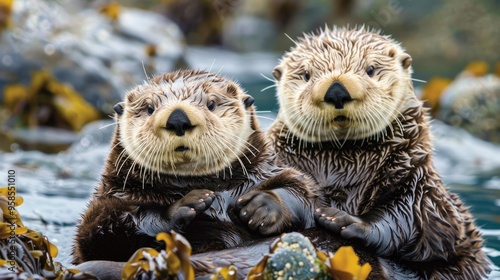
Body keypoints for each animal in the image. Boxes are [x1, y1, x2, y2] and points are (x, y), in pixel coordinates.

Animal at [71, 69, 316, 264]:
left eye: (211, 104)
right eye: (149, 108)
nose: (178, 118)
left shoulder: (266, 172)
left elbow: (302, 192)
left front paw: (262, 207)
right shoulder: (111, 198)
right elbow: (98, 232)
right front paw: (187, 204)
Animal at [268, 26, 490, 280]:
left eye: (370, 69)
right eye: (306, 74)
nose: (336, 90)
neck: (344, 164)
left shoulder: (415, 179)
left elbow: (416, 219)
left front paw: (342, 220)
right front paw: (269, 205)